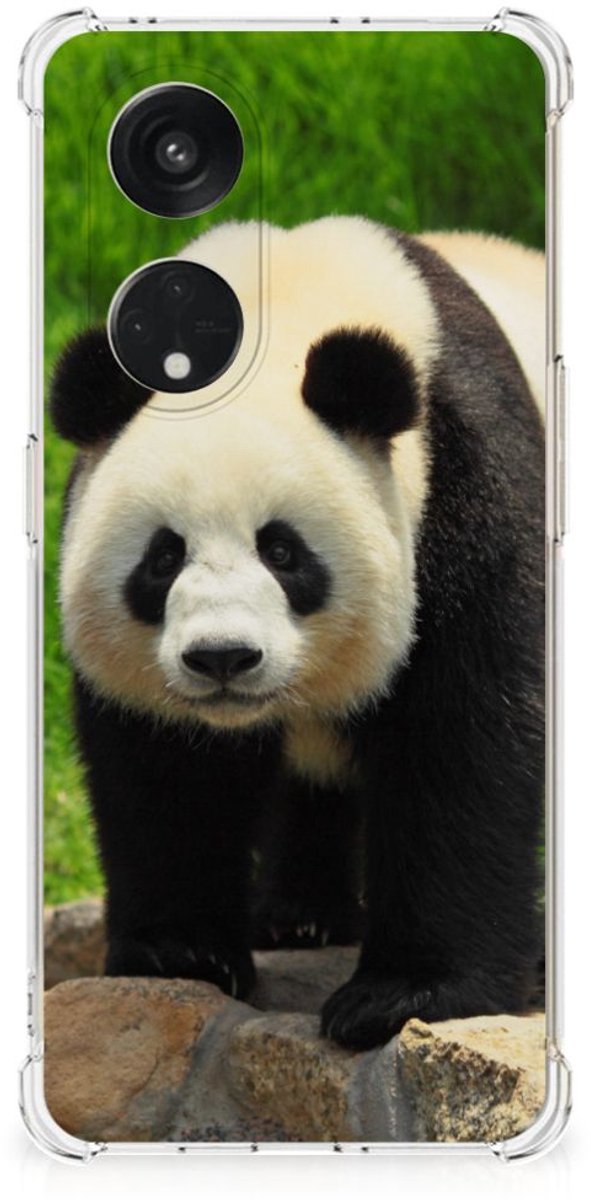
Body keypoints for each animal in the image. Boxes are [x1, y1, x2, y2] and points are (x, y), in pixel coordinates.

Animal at [50, 217, 545, 1050]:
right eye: (162, 557)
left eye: (282, 551)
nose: (222, 658)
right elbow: (164, 769)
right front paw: (180, 952)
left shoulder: (467, 487)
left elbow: (464, 739)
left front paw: (403, 995)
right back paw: (300, 917)